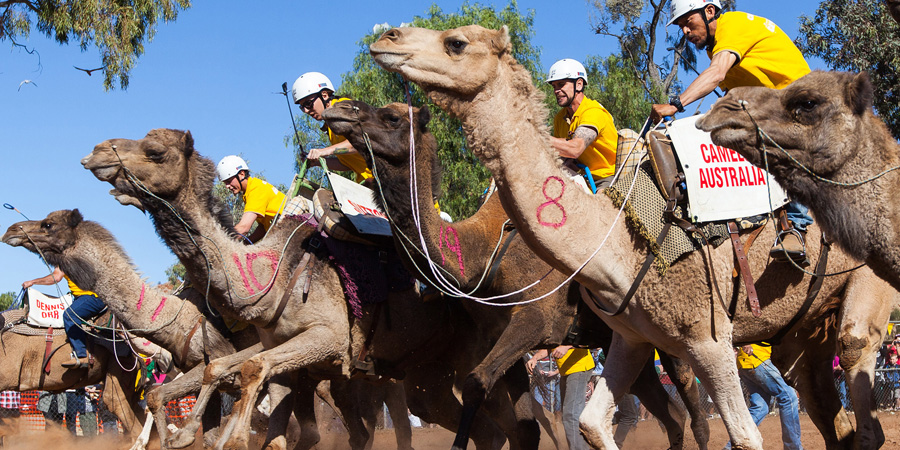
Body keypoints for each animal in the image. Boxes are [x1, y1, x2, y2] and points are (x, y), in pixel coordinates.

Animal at [80, 129, 546, 450]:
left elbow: (250, 379)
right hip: (427, 371)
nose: (97, 151)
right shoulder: (293, 363)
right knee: (474, 424)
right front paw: (190, 433)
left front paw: (205, 434)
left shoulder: (329, 337)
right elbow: (266, 411)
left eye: (154, 151)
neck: (271, 276)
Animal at [322, 99, 712, 450]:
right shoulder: (501, 337)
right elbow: (521, 423)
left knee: (691, 400)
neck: (483, 253)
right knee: (670, 413)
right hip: (626, 340)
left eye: (390, 116)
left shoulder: (536, 320)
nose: (339, 111)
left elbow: (476, 383)